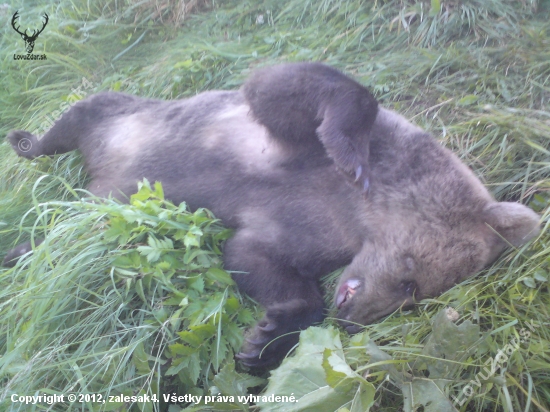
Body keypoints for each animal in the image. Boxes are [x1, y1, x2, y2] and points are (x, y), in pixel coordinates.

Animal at [3, 63, 540, 366]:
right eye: (412, 282)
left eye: (415, 299)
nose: (354, 321)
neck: (363, 212)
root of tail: (92, 173)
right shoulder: (298, 151)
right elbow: (286, 89)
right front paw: (348, 148)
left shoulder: (305, 225)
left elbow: (253, 257)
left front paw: (262, 340)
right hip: (117, 114)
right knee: (72, 121)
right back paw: (26, 143)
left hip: (100, 204)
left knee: (57, 234)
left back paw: (20, 247)